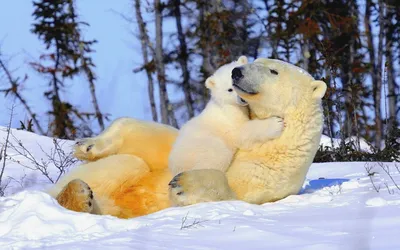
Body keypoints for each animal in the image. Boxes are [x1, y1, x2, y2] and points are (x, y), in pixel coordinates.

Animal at [47, 58, 328, 219]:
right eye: (255, 59)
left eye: (273, 71)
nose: (237, 72)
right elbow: (155, 141)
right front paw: (87, 145)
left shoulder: (271, 172)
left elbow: (235, 191)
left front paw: (184, 184)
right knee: (128, 163)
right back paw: (79, 190)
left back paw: (81, 197)